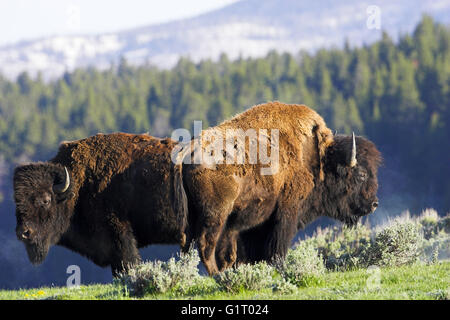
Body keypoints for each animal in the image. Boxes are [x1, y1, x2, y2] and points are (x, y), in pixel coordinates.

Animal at [13, 132, 187, 276]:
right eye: (17, 201)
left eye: (46, 200)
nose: (24, 233)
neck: (78, 185)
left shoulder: (119, 236)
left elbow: (126, 264)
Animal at [176, 101, 380, 274]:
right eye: (361, 174)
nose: (374, 204)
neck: (317, 159)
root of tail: (188, 152)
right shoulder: (286, 212)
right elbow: (277, 248)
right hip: (215, 215)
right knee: (206, 246)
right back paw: (218, 275)